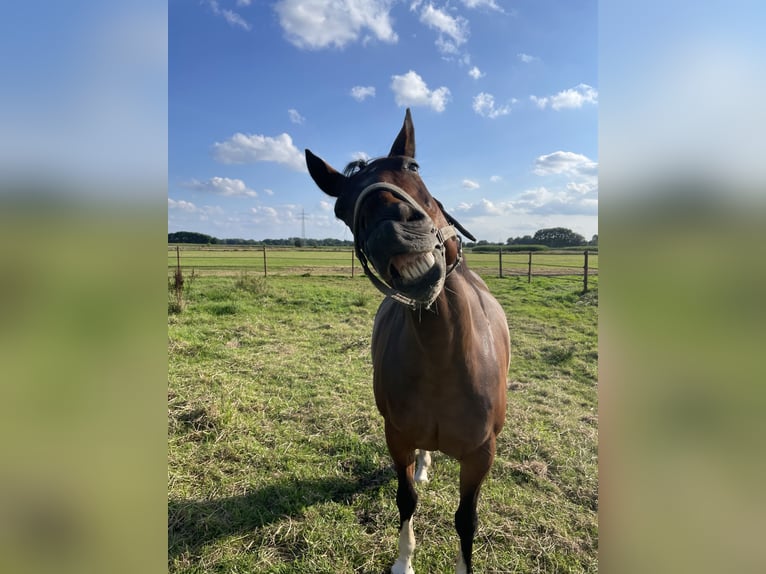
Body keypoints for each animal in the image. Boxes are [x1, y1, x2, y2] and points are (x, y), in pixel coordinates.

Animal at [305, 109, 510, 574]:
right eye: (342, 206)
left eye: (413, 168)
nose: (391, 233)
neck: (442, 355)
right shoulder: (396, 436)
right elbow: (406, 499)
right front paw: (404, 561)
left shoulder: (480, 455)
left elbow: (466, 520)